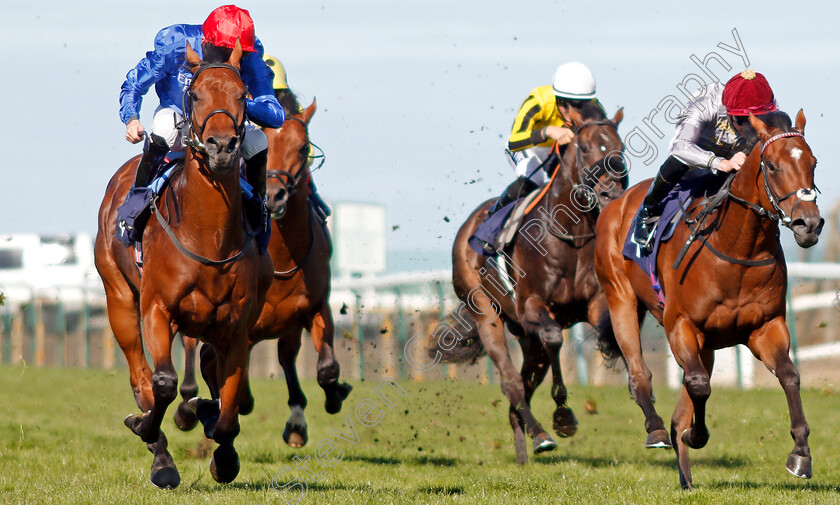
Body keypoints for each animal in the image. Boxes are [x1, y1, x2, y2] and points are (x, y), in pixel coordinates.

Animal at [94, 44, 272, 488]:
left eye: (243, 95)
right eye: (195, 94)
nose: (222, 145)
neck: (207, 234)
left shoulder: (237, 328)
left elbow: (229, 407)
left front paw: (223, 457)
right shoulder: (157, 310)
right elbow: (163, 382)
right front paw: (146, 429)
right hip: (119, 300)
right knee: (141, 378)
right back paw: (160, 457)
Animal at [176, 98, 350, 444]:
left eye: (303, 147)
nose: (273, 195)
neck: (282, 256)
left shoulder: (314, 307)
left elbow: (325, 367)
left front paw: (330, 398)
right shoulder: (240, 323)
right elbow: (218, 366)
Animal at [436, 106, 628, 460]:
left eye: (619, 147)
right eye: (584, 148)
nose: (612, 193)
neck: (570, 234)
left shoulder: (592, 303)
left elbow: (607, 328)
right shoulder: (532, 305)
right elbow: (553, 338)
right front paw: (563, 415)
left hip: (525, 336)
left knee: (522, 390)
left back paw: (524, 447)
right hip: (486, 311)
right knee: (511, 382)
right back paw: (540, 434)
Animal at [592, 110, 824, 488]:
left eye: (813, 163)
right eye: (773, 166)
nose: (810, 224)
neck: (738, 248)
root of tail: (617, 202)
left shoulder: (765, 327)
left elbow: (790, 376)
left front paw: (800, 454)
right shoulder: (681, 325)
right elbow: (699, 386)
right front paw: (697, 435)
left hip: (707, 345)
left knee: (680, 406)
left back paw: (685, 475)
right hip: (620, 298)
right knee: (641, 375)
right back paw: (656, 429)